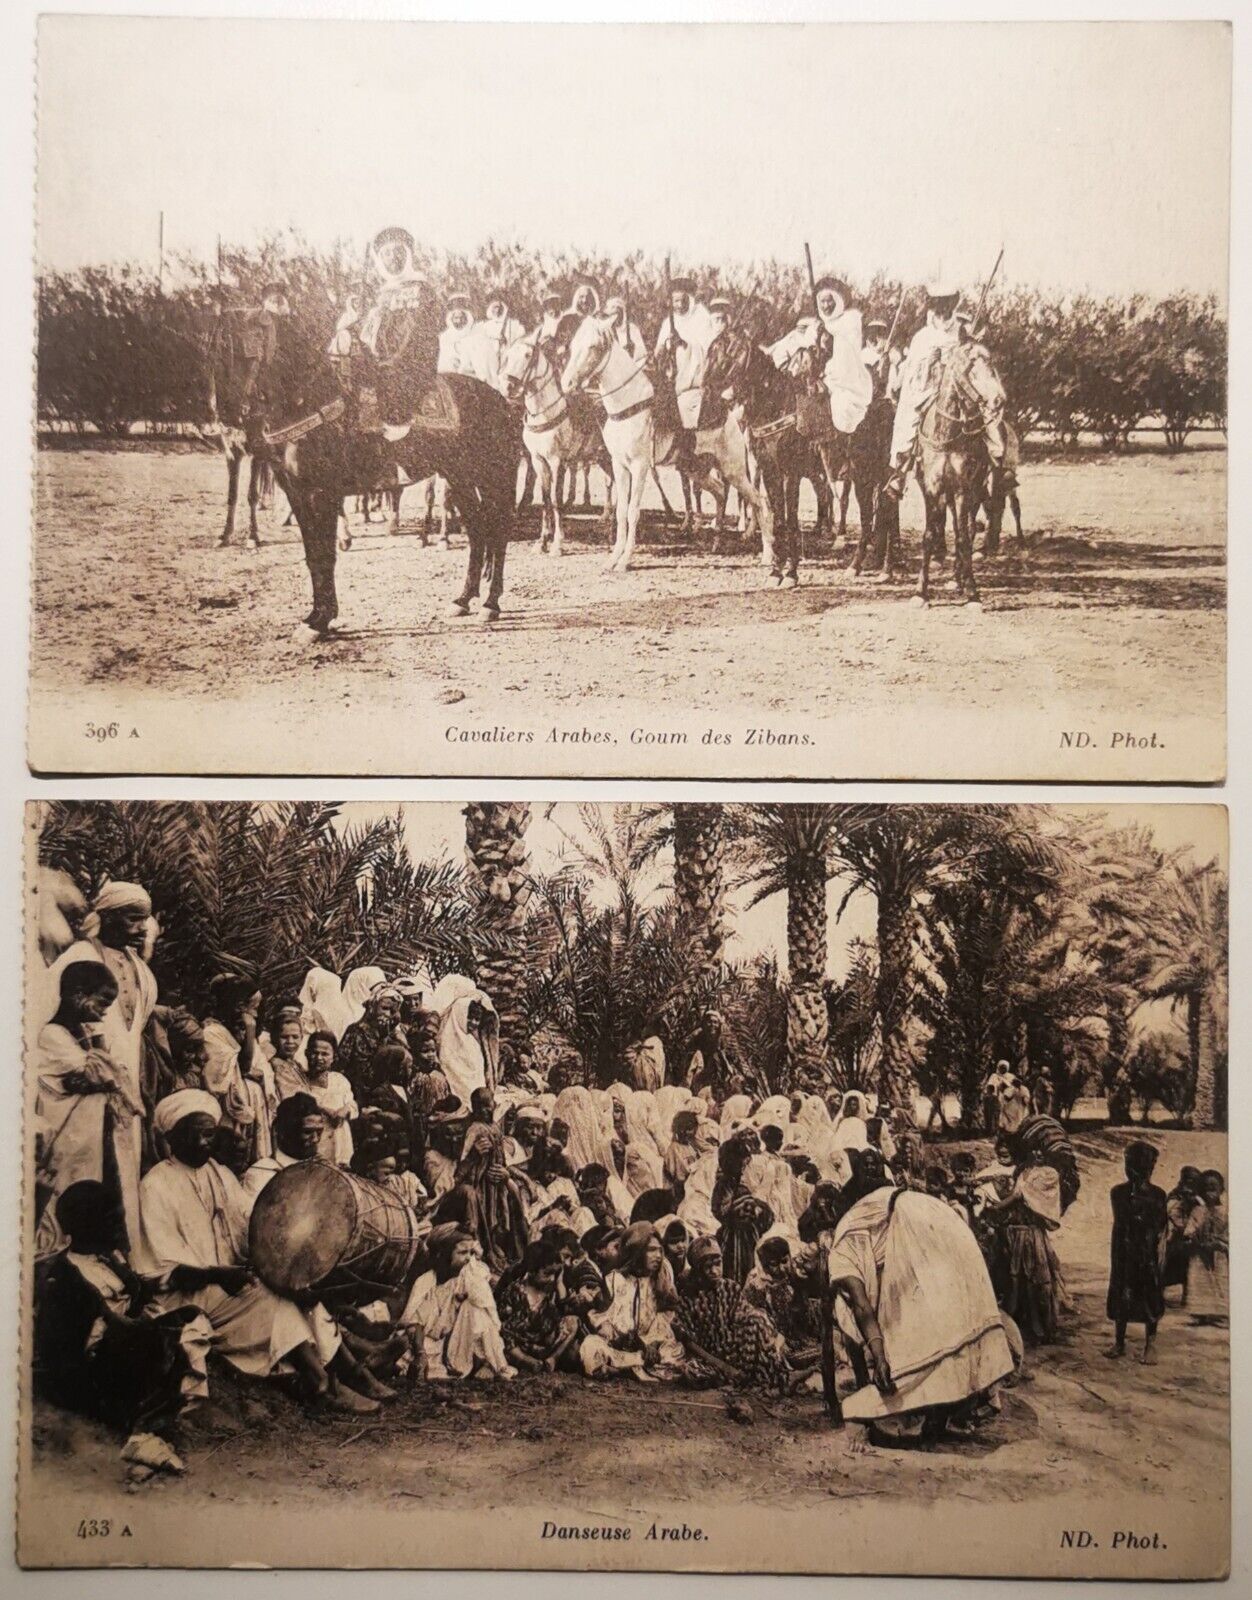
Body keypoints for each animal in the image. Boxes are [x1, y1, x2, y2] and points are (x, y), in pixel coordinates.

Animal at [252, 312, 518, 636]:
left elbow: (325, 554)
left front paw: (321, 621)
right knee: (479, 532)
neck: (309, 401)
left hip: (495, 478)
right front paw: (315, 618)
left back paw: (491, 604)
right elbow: (313, 555)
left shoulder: (320, 494)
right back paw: (463, 600)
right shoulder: (297, 494)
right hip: (461, 478)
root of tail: (501, 401)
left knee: (499, 533)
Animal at [505, 332, 611, 556]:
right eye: (508, 355)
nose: (509, 387)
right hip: (602, 457)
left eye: (528, 355)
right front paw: (541, 542)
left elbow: (556, 500)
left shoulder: (557, 461)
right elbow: (545, 500)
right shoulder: (538, 461)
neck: (546, 413)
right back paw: (608, 519)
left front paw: (557, 544)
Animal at [566, 315, 765, 572]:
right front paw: (613, 559)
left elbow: (632, 511)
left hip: (734, 470)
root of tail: (730, 414)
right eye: (573, 345)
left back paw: (768, 554)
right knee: (721, 492)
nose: (568, 383)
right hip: (696, 469)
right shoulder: (619, 465)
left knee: (758, 501)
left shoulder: (640, 466)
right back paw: (716, 542)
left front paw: (625, 560)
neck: (628, 404)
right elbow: (620, 512)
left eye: (593, 346)